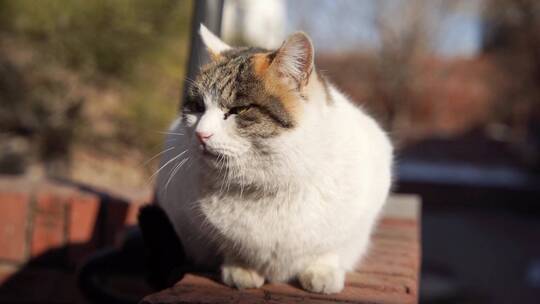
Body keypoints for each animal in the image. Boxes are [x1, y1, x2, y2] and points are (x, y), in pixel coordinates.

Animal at [154, 24, 394, 294]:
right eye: (197, 107)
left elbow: (331, 248)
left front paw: (322, 271)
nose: (201, 134)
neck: (268, 186)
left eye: (238, 110)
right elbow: (231, 247)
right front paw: (241, 268)